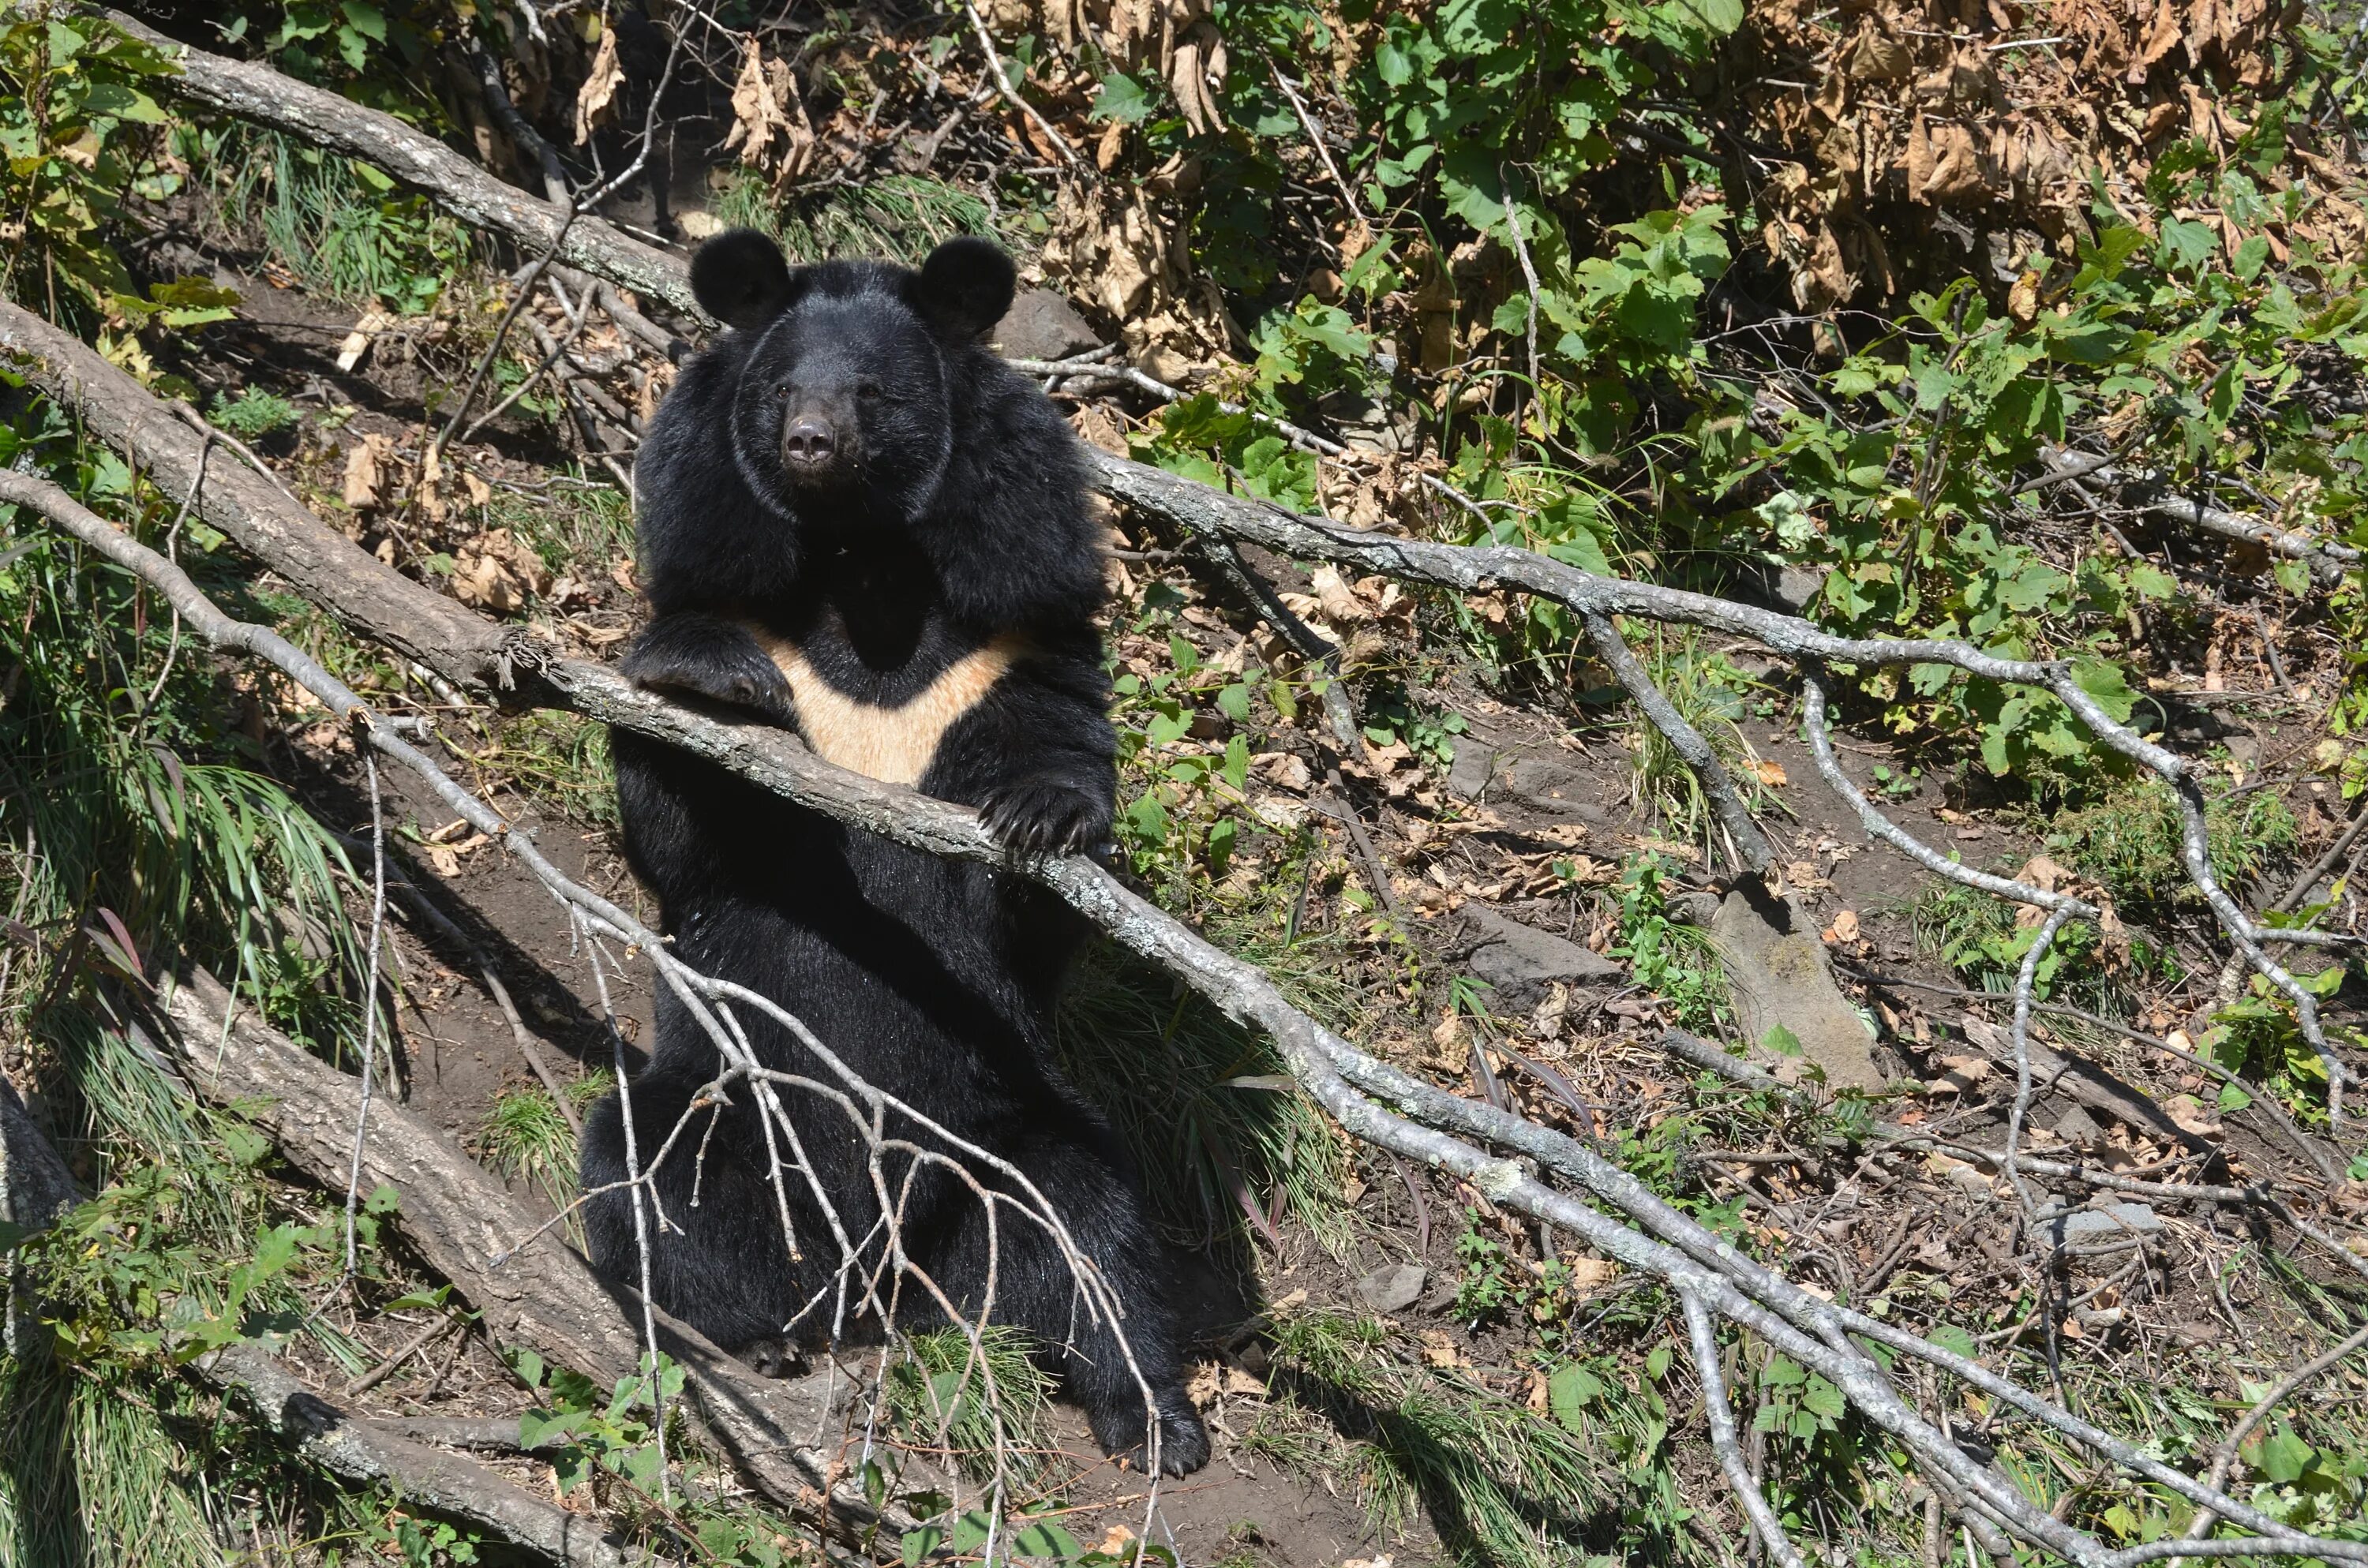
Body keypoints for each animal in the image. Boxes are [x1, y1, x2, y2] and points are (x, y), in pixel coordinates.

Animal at [571, 227, 1203, 1477]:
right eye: (779, 391)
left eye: (875, 393)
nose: (811, 444)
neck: (861, 564)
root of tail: (875, 1282)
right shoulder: (724, 571)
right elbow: (682, 828)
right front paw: (711, 678)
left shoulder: (1010, 635)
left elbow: (1051, 789)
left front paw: (1046, 818)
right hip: (735, 1109)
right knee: (646, 1170)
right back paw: (750, 1334)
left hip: (1004, 1140)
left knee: (1095, 1233)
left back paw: (1155, 1418)